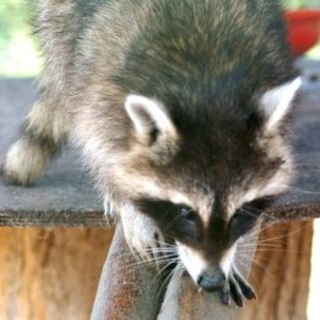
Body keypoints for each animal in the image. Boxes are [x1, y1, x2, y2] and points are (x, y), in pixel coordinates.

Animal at [4, 0, 300, 304]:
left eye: (240, 211)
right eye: (186, 212)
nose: (212, 280)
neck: (208, 89)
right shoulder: (102, 81)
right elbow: (98, 141)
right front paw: (127, 203)